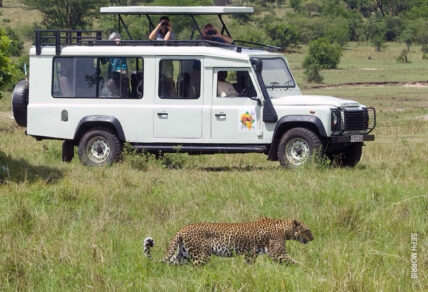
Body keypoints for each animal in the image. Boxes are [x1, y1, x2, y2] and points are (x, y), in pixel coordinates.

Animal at [142, 217, 312, 266]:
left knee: (171, 263)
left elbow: (248, 264)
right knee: (196, 268)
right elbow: (294, 262)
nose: (313, 238)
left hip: (183, 254)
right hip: (201, 256)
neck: (284, 229)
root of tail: (182, 229)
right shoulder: (277, 253)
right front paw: (307, 269)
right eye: (307, 230)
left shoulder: (251, 254)